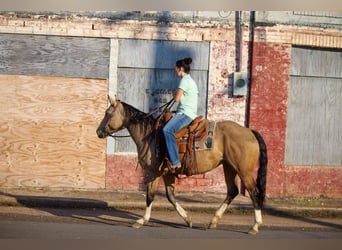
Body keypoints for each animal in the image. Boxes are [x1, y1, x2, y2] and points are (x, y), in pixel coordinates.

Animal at [95, 95, 268, 234]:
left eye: (108, 113)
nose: (98, 132)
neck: (149, 134)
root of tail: (250, 131)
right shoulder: (168, 173)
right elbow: (171, 197)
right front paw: (188, 219)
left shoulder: (153, 172)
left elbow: (150, 196)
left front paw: (142, 220)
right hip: (229, 167)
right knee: (232, 191)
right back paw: (213, 221)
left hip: (243, 170)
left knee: (254, 192)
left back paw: (255, 226)